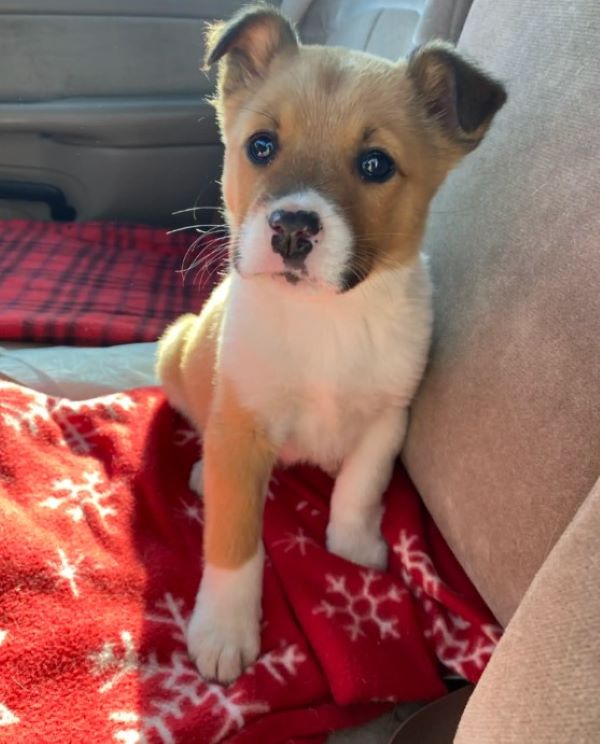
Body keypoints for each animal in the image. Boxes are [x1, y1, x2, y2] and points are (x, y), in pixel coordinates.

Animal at [157, 2, 504, 684]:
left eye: (375, 164)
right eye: (261, 145)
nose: (292, 229)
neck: (326, 320)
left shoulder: (389, 418)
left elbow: (359, 489)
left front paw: (353, 550)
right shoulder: (241, 422)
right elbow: (234, 541)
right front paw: (224, 630)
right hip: (177, 348)